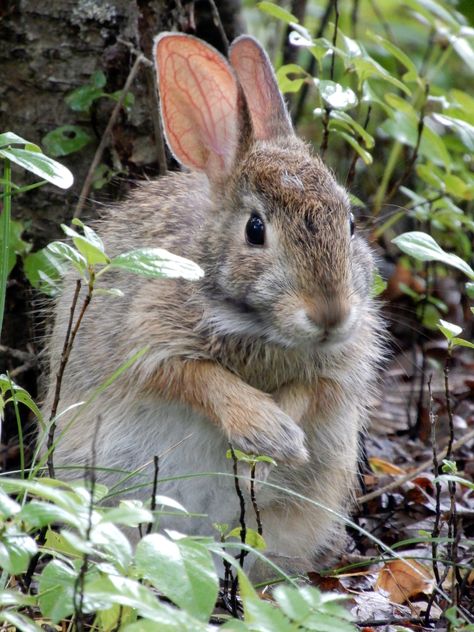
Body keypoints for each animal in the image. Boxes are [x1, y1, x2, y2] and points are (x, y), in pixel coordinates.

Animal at [42, 32, 384, 572]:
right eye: (255, 229)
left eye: (349, 223)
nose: (331, 315)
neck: (260, 325)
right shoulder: (149, 335)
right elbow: (198, 377)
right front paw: (268, 432)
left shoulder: (339, 367)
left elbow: (311, 389)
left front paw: (275, 449)